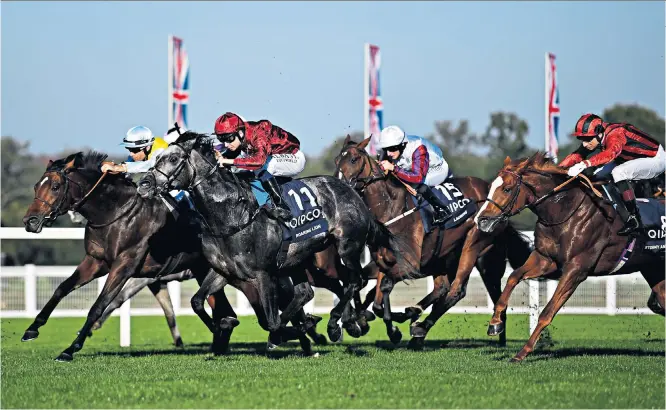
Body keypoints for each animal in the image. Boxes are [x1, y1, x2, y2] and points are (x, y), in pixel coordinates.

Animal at [135, 132, 416, 352]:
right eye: (156, 158)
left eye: (173, 159)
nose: (144, 184)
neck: (231, 216)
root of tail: (352, 191)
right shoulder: (224, 271)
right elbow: (196, 302)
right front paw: (224, 324)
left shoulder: (264, 274)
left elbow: (270, 321)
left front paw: (294, 331)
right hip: (301, 258)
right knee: (308, 291)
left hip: (346, 246)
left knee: (353, 281)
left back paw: (337, 324)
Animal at [334, 136, 532, 348]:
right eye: (337, 160)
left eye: (353, 159)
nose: (339, 186)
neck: (391, 208)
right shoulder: (383, 261)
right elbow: (375, 298)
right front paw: (368, 321)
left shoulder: (411, 264)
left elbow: (384, 287)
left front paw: (392, 326)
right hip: (445, 257)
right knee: (444, 288)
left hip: (478, 251)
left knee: (460, 291)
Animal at [474, 153, 660, 362]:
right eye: (491, 186)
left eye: (507, 188)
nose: (482, 221)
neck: (564, 210)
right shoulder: (545, 259)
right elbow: (513, 277)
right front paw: (495, 323)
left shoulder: (576, 269)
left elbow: (547, 312)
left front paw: (523, 352)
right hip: (654, 269)